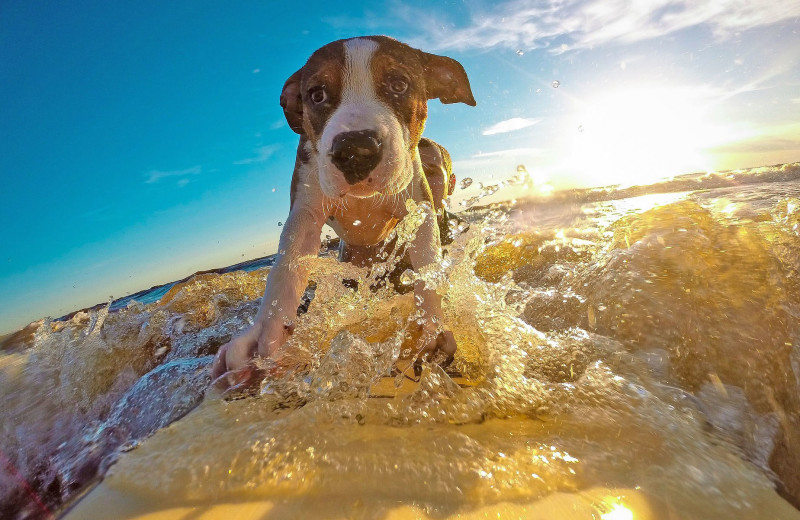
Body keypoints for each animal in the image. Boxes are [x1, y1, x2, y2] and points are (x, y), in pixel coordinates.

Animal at [212, 35, 476, 386]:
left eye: (399, 84)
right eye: (317, 94)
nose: (355, 149)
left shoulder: (417, 205)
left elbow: (427, 265)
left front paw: (429, 328)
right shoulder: (305, 210)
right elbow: (286, 269)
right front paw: (265, 336)